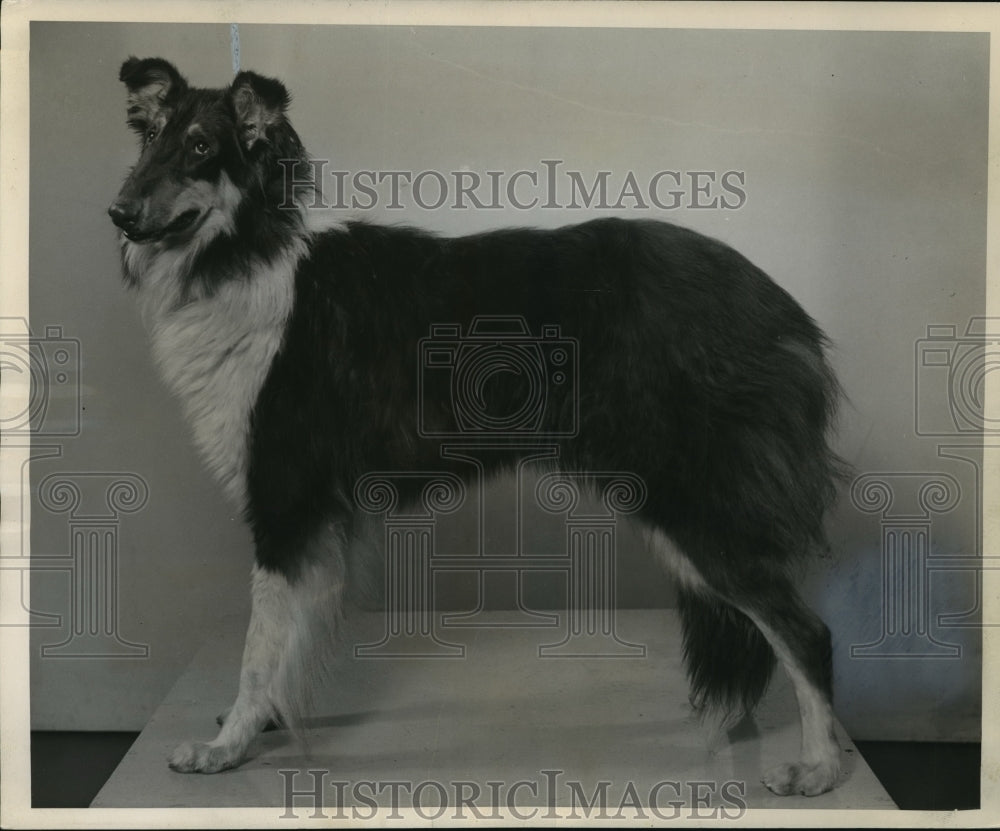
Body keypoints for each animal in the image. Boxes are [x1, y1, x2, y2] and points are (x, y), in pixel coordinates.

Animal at [107, 58, 844, 800]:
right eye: (151, 138)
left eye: (202, 147)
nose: (119, 212)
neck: (245, 258)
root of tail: (783, 309)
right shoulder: (318, 521)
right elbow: (290, 644)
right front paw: (261, 723)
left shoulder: (285, 500)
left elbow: (259, 646)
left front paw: (225, 747)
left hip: (694, 503)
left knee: (806, 632)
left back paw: (819, 766)